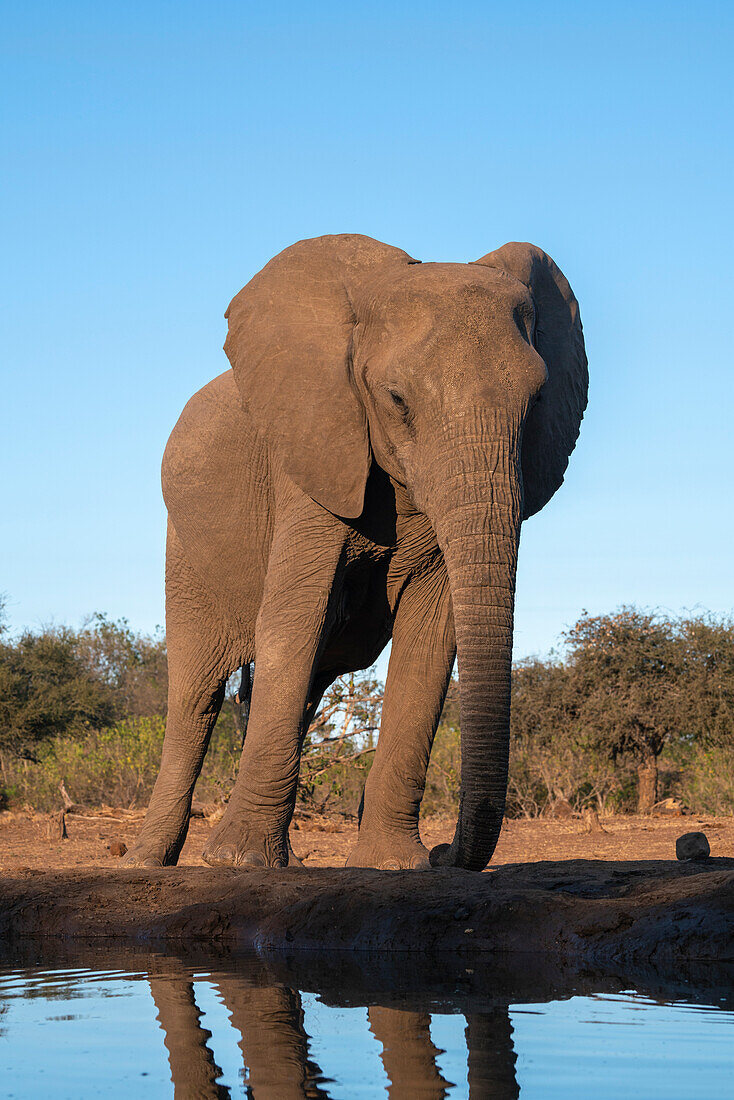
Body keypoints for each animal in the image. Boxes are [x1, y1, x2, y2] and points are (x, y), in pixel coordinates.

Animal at [124, 236, 585, 871]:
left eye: (538, 399)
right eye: (396, 400)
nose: (446, 852)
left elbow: (431, 640)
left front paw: (393, 864)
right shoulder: (311, 454)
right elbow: (294, 620)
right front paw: (238, 863)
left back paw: (285, 860)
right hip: (188, 546)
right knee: (196, 692)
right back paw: (149, 861)